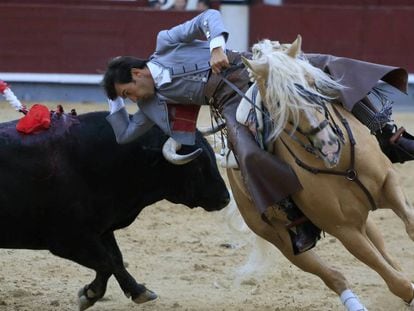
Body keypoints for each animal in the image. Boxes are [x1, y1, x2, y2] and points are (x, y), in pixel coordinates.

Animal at [0, 112, 230, 310]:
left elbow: (116, 259)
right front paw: (88, 295)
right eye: (197, 164)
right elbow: (107, 262)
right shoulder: (69, 240)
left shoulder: (101, 228)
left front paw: (139, 291)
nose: (225, 198)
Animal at [228, 35, 414, 310]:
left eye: (313, 83)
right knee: (334, 275)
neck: (340, 165)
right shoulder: (343, 229)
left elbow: (410, 226)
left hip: (365, 220)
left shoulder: (388, 184)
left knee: (384, 252)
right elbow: (395, 282)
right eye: (278, 102)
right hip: (281, 240)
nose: (328, 143)